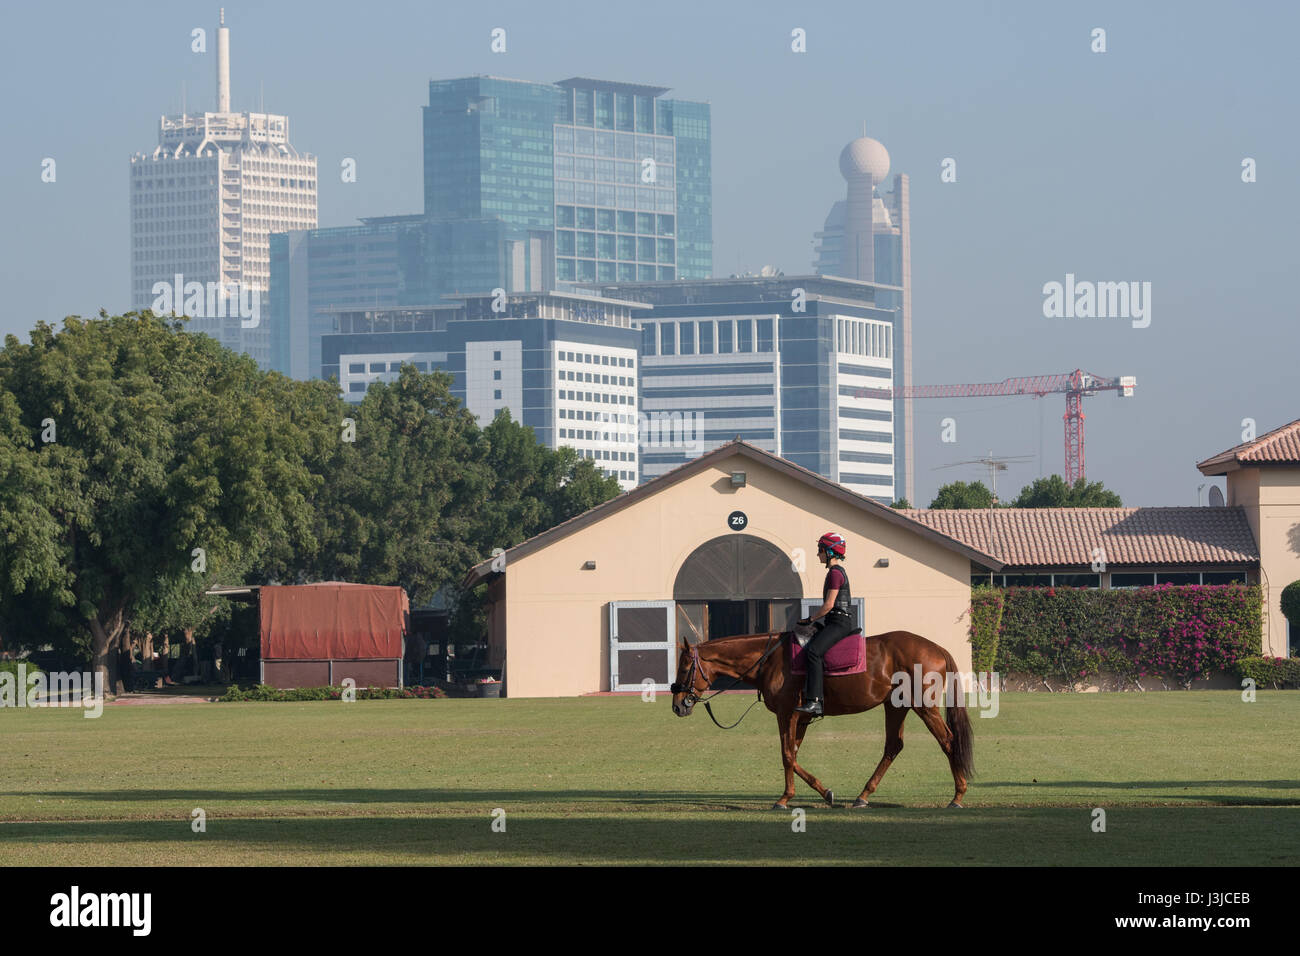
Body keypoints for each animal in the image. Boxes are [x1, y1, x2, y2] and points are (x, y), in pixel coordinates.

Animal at [676, 632, 972, 811]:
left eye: (684, 667)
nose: (677, 704)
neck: (770, 660)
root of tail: (936, 647)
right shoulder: (800, 719)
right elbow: (793, 755)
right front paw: (823, 791)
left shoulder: (787, 714)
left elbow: (786, 755)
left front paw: (785, 798)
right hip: (895, 706)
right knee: (893, 746)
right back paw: (863, 795)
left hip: (924, 706)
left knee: (948, 740)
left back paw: (958, 796)